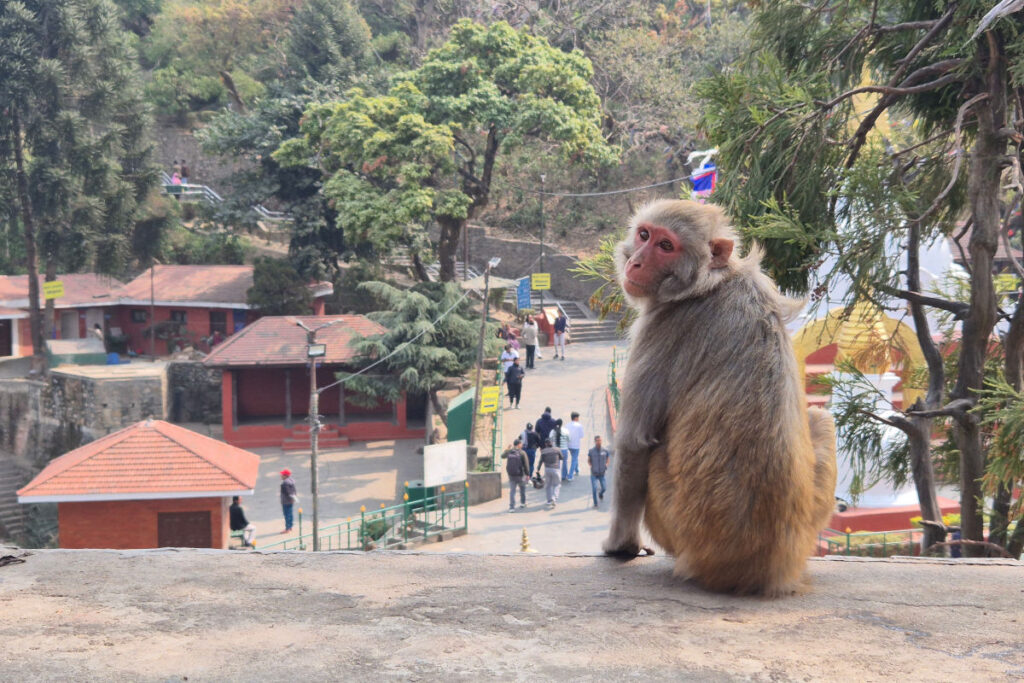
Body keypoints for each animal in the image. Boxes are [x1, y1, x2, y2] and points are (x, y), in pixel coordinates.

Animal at [602, 199, 837, 596]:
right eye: (645, 235)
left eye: (666, 246)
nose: (636, 263)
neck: (710, 282)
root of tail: (766, 569)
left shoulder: (660, 327)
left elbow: (633, 443)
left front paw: (621, 544)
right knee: (821, 418)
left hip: (675, 519)